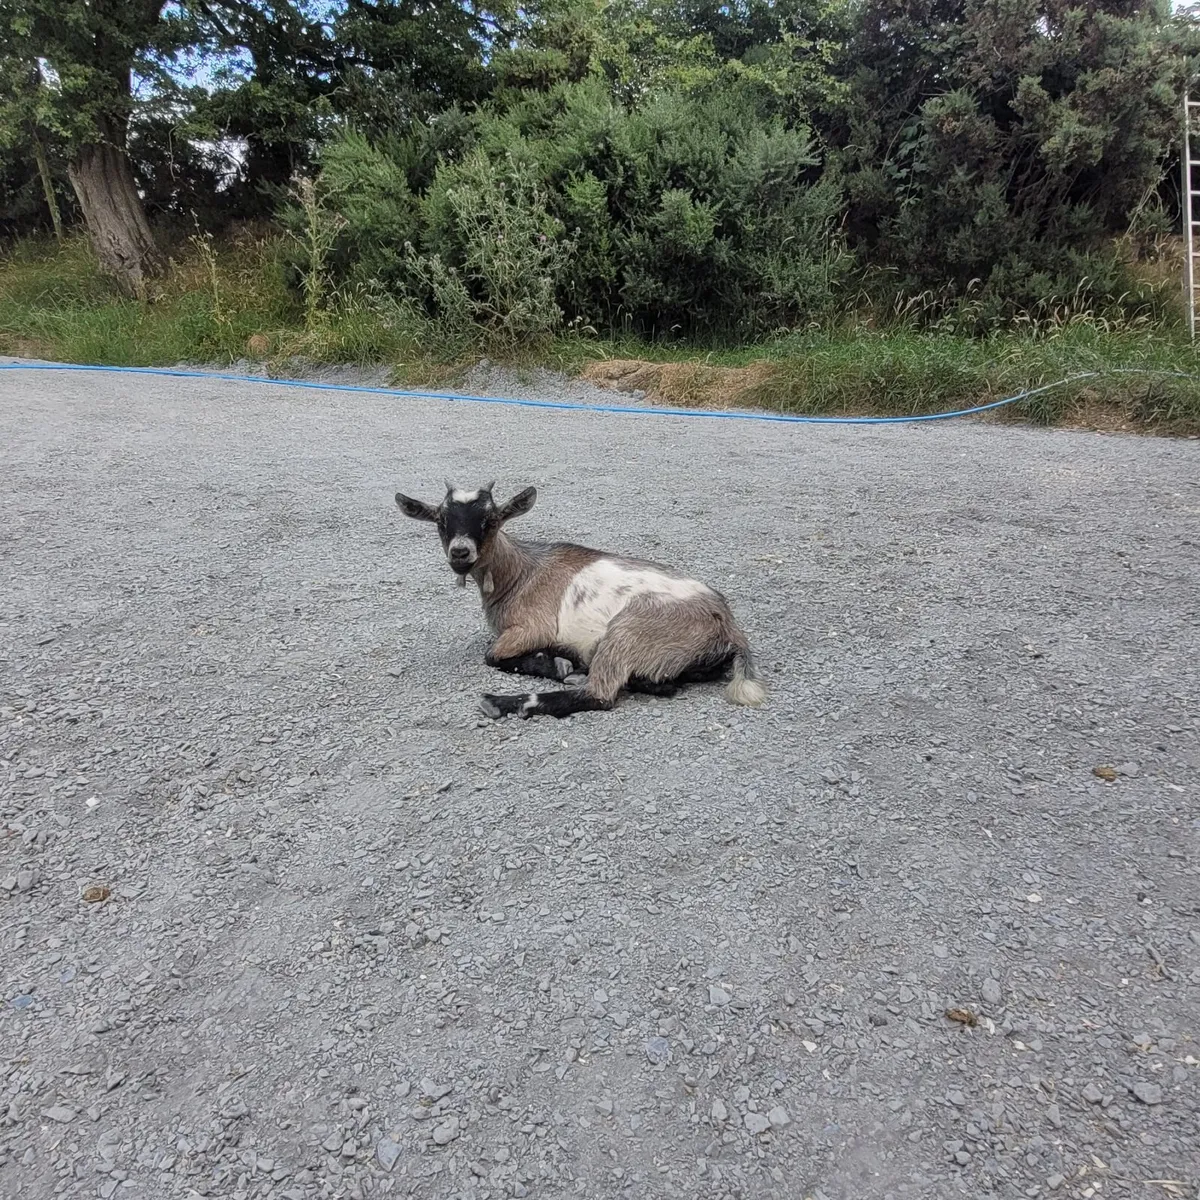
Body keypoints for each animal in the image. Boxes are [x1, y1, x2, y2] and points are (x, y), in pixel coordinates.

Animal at [395, 482, 766, 720]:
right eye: (441, 521)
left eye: (491, 521)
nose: (461, 553)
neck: (520, 574)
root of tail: (728, 626)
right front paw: (558, 662)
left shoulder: (533, 627)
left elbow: (492, 655)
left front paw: (555, 665)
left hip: (630, 630)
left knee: (600, 694)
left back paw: (503, 702)